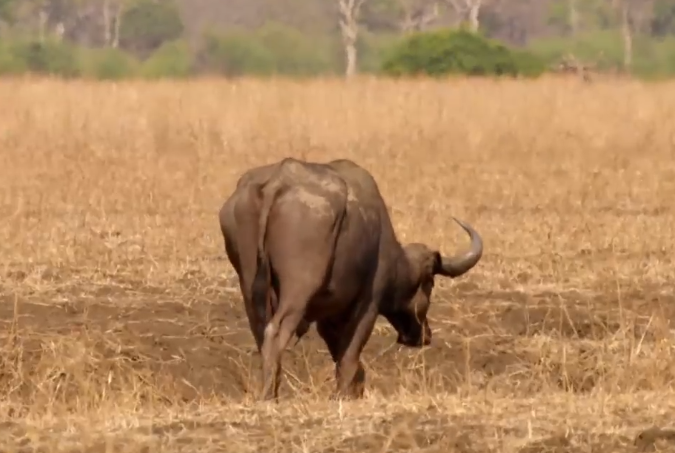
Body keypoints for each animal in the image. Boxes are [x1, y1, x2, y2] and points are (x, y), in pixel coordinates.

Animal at [219, 156, 484, 400]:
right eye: (430, 283)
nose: (424, 335)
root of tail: (277, 183)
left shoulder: (328, 317)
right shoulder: (368, 304)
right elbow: (349, 354)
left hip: (250, 288)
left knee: (261, 333)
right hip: (298, 290)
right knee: (275, 331)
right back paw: (268, 396)